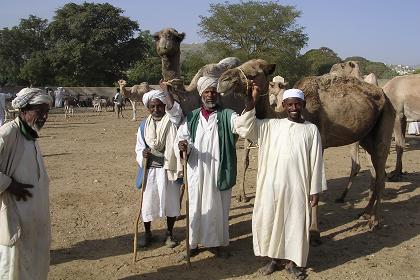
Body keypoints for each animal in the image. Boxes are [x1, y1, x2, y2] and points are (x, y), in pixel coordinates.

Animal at [218, 58, 396, 242]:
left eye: (253, 74)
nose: (223, 81)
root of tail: (385, 96)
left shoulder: (319, 144)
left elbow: (313, 190)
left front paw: (314, 231)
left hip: (385, 123)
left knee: (380, 174)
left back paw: (374, 221)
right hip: (367, 137)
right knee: (375, 172)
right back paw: (365, 213)